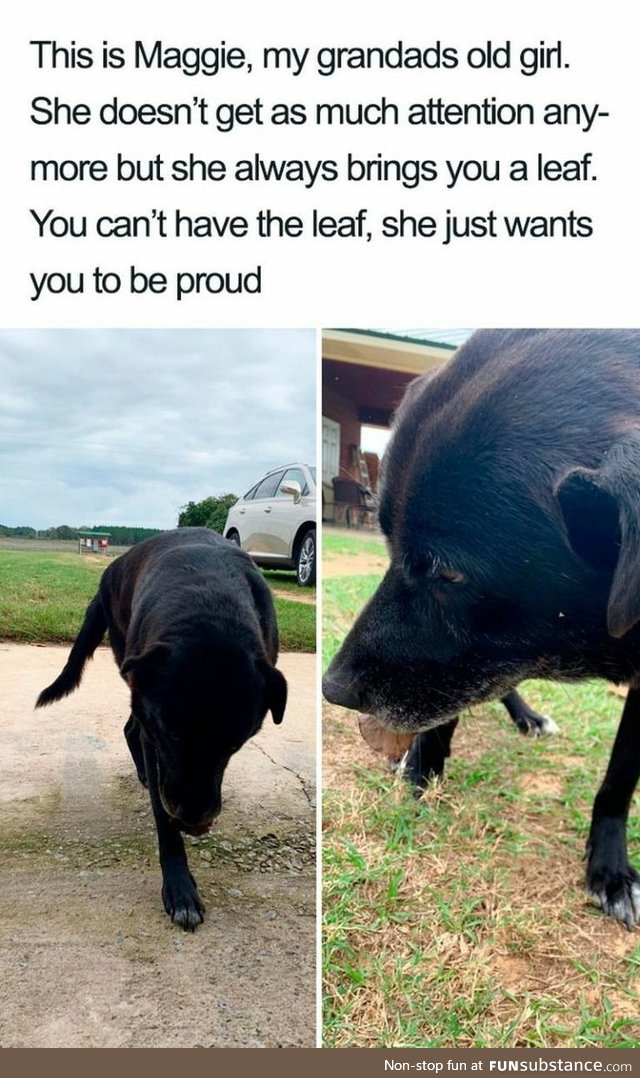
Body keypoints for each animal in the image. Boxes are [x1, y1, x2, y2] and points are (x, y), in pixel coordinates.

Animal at [37, 528, 286, 927]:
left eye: (236, 744)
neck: (208, 607)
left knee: (130, 728)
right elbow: (162, 817)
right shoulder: (156, 737)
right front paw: (180, 886)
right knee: (133, 730)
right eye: (172, 735)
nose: (194, 821)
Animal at [325, 327, 640, 927]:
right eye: (386, 541)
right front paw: (422, 767)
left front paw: (610, 869)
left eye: (450, 572)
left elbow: (619, 778)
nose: (333, 689)